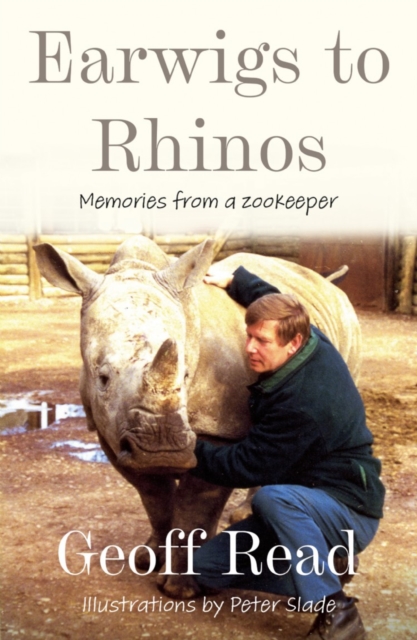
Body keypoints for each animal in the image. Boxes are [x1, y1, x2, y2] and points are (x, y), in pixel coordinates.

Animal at [34, 235, 361, 598]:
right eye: (102, 378)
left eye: (186, 376)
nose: (163, 450)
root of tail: (325, 282)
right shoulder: (109, 431)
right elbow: (155, 496)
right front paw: (148, 558)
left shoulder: (222, 428)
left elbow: (195, 506)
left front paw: (180, 589)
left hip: (348, 325)